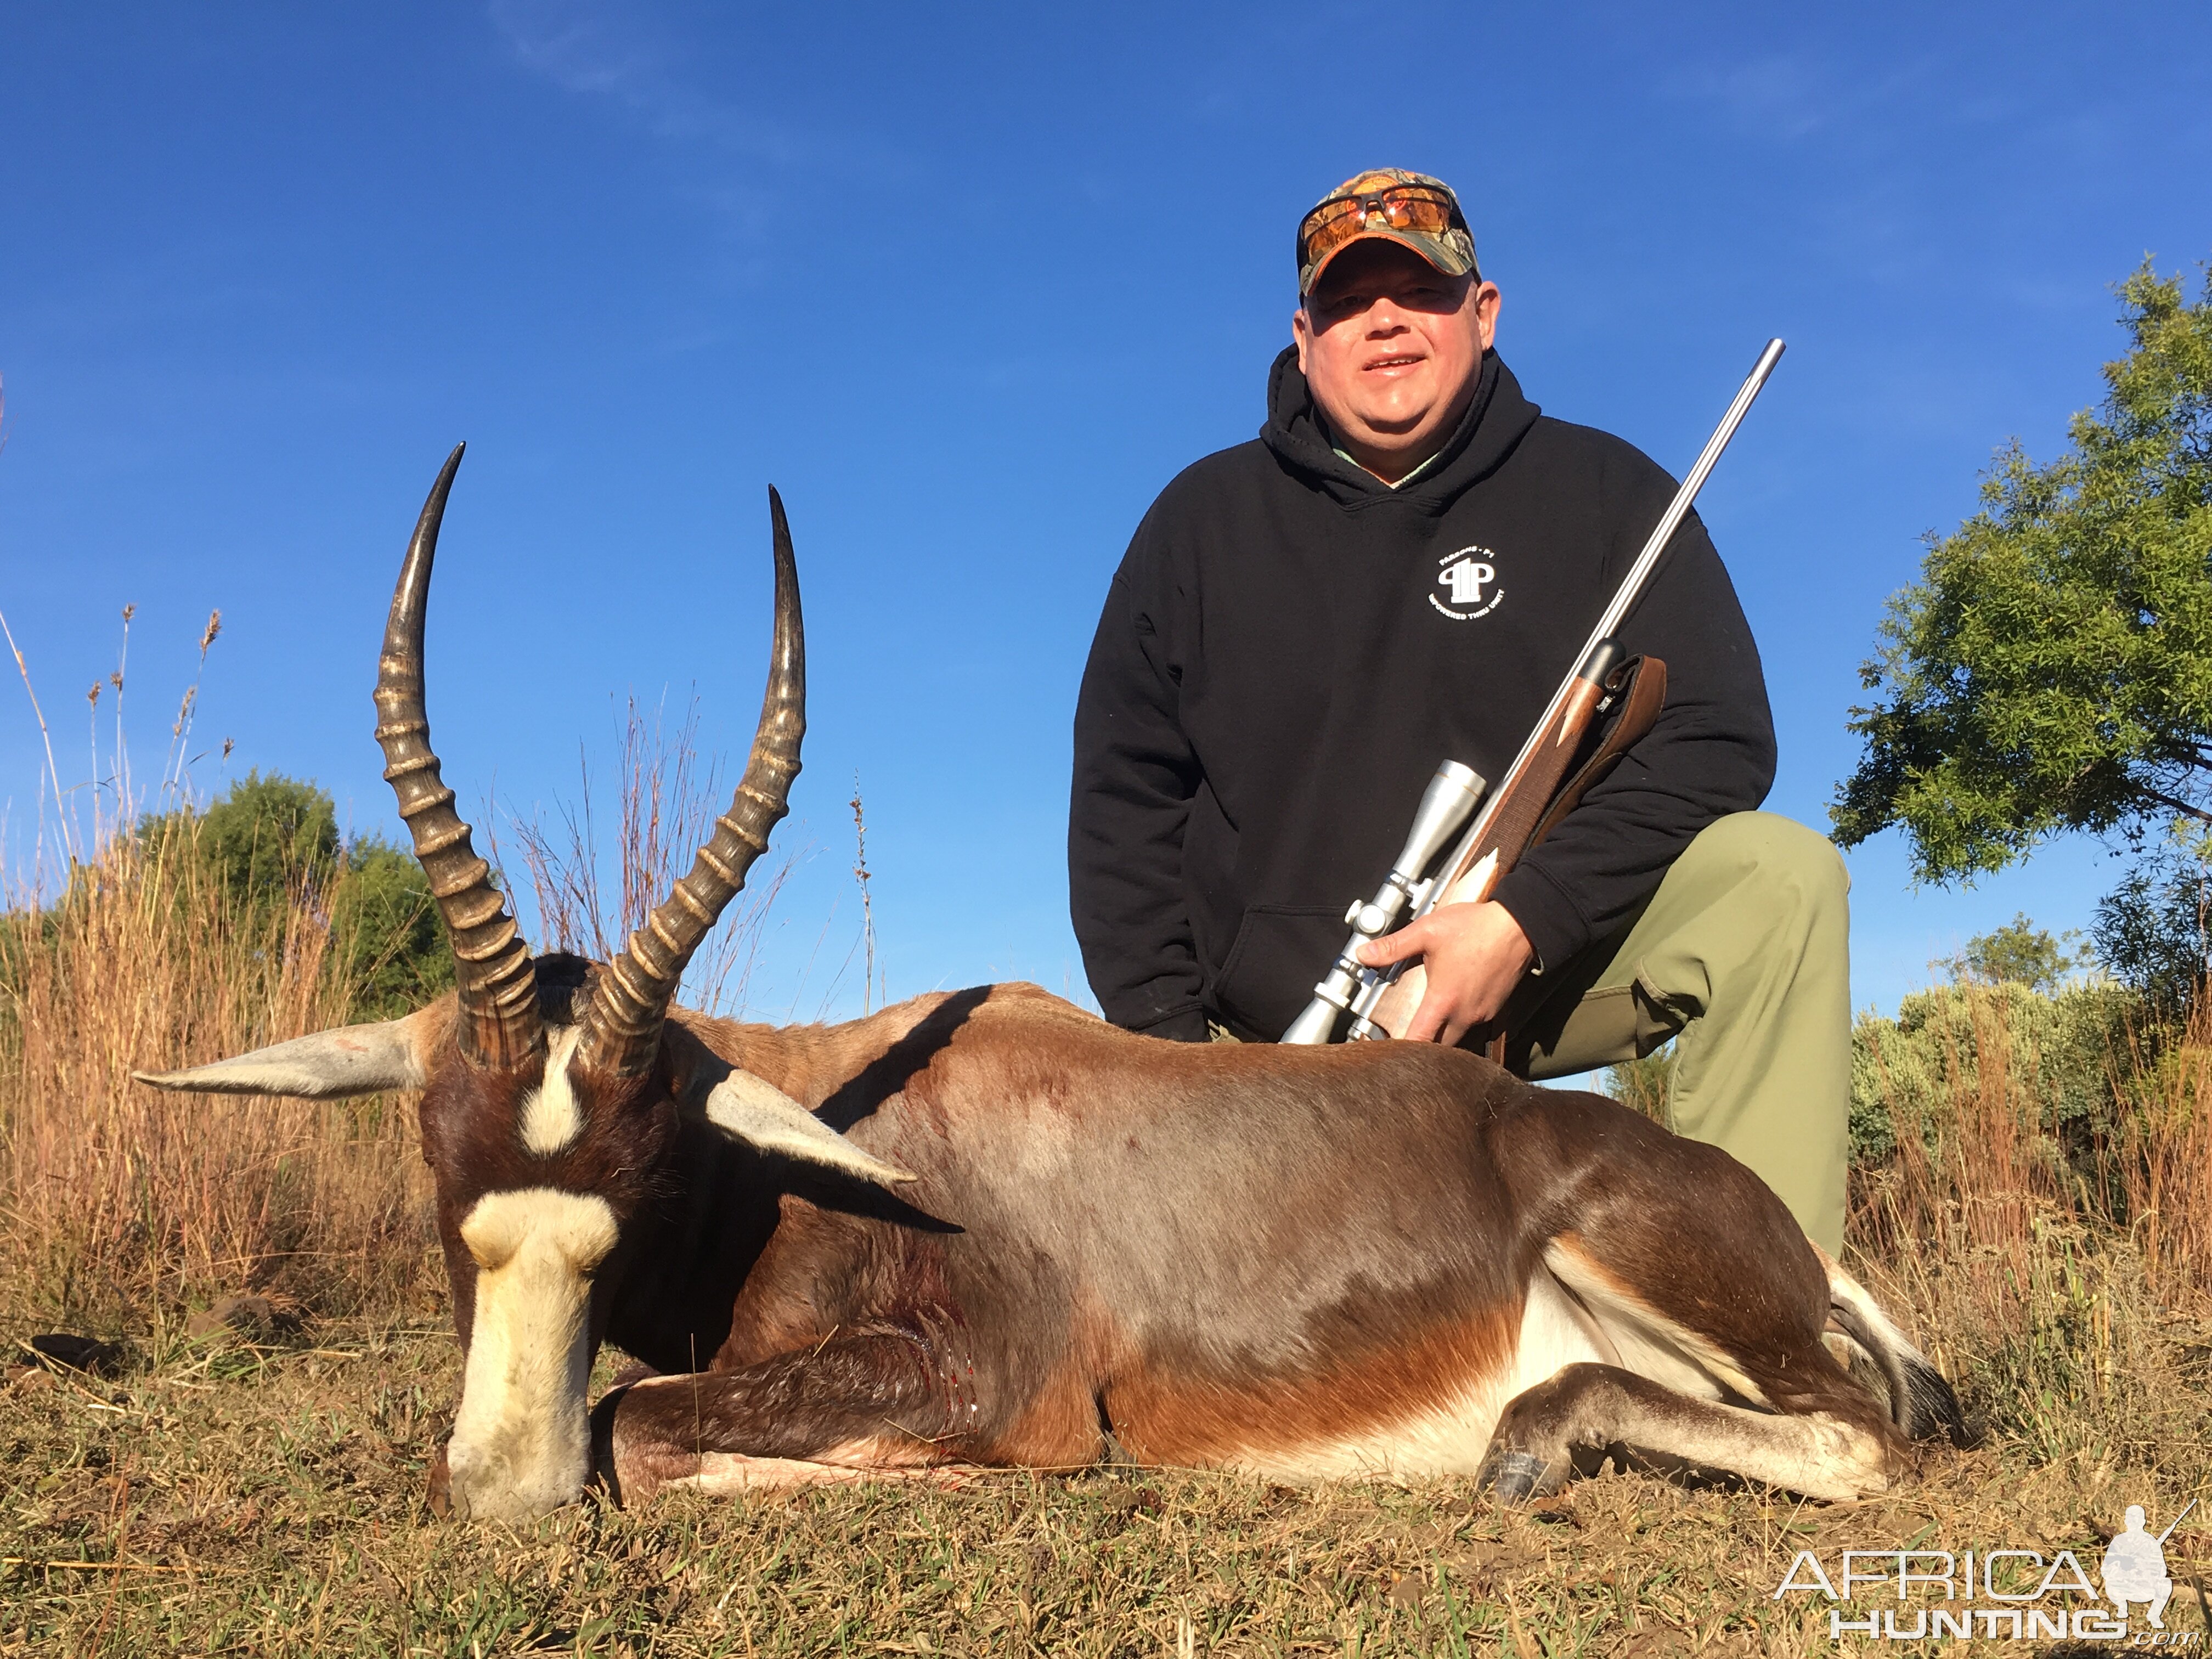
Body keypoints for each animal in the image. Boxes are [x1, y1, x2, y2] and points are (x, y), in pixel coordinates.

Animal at [143, 451, 1973, 1522]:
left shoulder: (994, 1380)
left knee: (1855, 1437)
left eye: (649, 1169)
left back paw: (1528, 1443)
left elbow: (643, 1432)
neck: (843, 1139)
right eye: (435, 1173)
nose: (500, 1497)